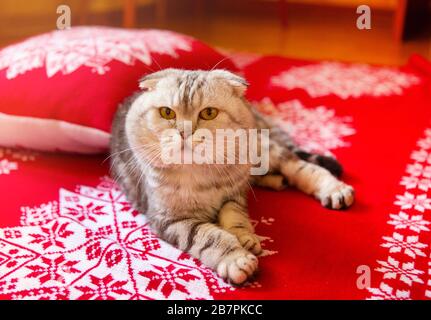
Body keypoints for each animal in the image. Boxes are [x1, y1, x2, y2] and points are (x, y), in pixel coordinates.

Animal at [110, 68, 354, 284]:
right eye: (167, 112)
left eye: (208, 113)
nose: (184, 132)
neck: (198, 172)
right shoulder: (171, 218)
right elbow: (210, 237)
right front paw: (237, 258)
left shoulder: (233, 193)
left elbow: (235, 216)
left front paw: (245, 238)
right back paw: (277, 181)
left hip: (262, 149)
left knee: (301, 167)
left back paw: (334, 189)